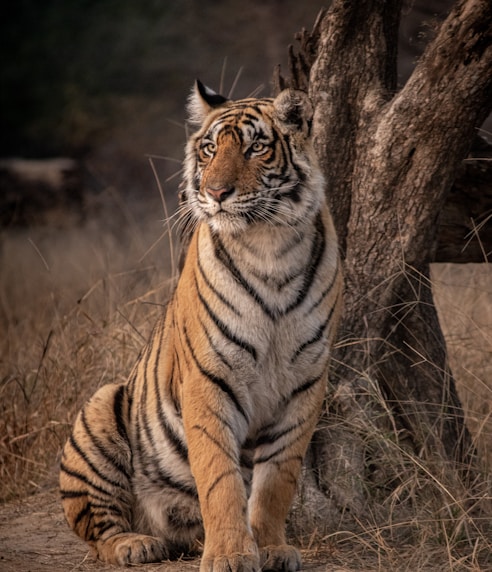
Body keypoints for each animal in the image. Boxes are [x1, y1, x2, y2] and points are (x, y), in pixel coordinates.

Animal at [58, 80, 342, 572]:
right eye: (209, 149)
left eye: (255, 148)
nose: (216, 192)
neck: (270, 245)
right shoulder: (210, 377)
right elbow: (219, 476)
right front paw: (230, 554)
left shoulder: (305, 382)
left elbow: (276, 480)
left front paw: (271, 548)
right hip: (99, 410)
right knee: (98, 532)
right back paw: (136, 544)